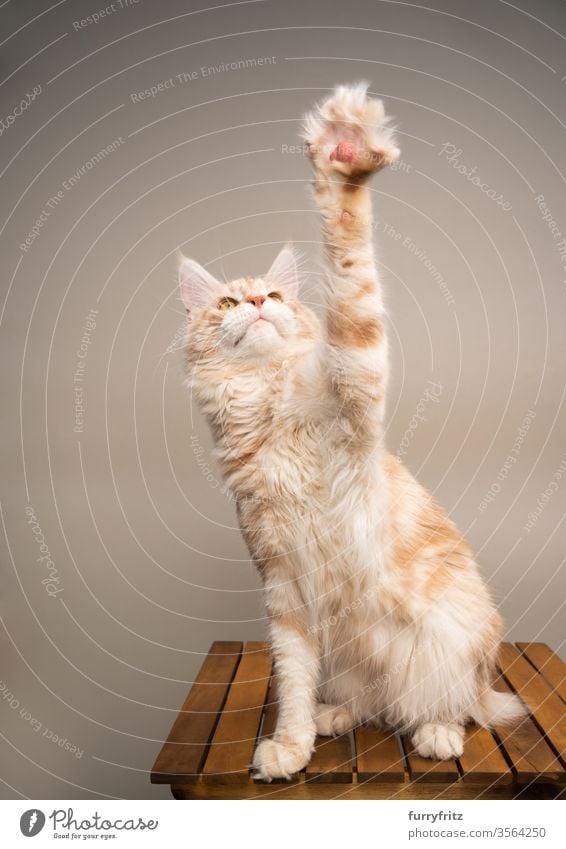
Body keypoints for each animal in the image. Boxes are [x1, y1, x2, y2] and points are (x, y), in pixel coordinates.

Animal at [180, 83, 524, 780]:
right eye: (228, 304)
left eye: (277, 296)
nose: (256, 304)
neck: (269, 411)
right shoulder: (283, 587)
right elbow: (293, 680)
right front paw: (291, 744)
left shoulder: (355, 376)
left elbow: (348, 268)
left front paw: (344, 160)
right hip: (348, 650)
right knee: (370, 699)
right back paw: (336, 716)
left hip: (448, 639)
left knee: (445, 702)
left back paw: (438, 731)